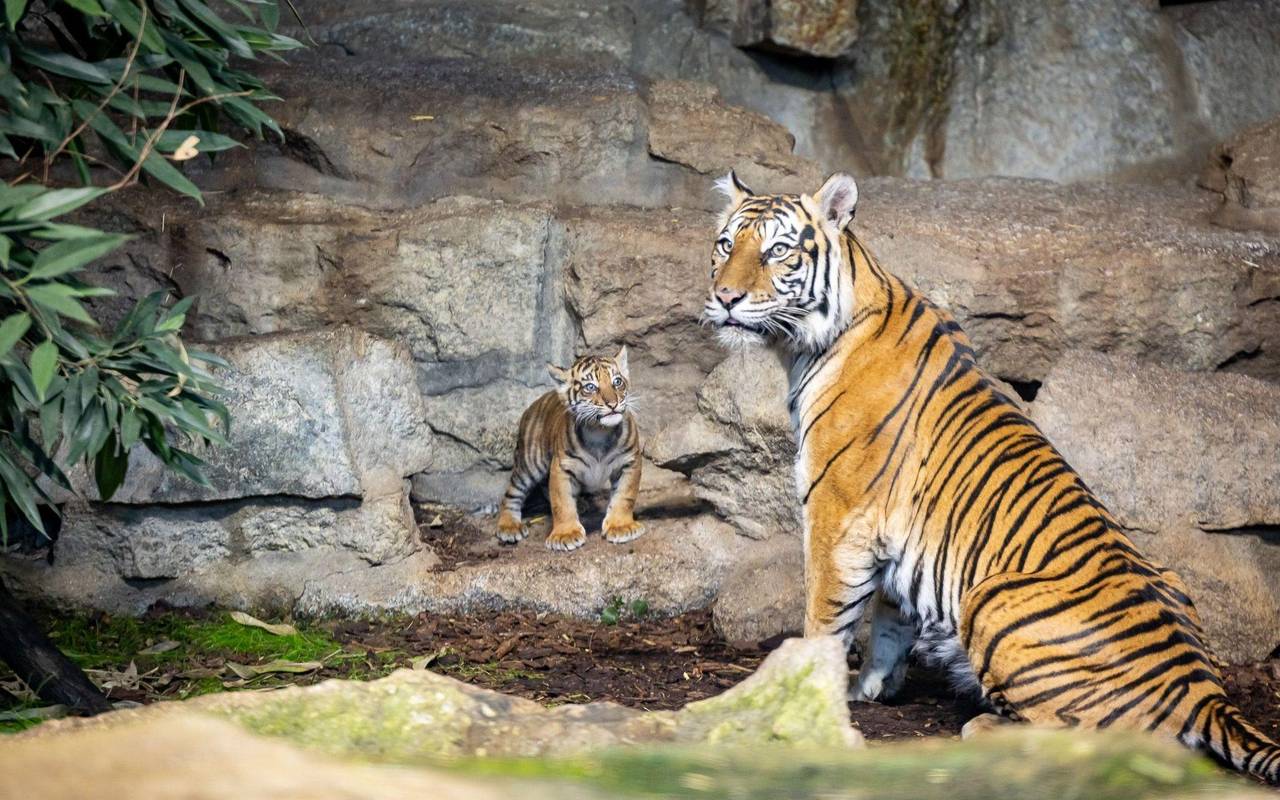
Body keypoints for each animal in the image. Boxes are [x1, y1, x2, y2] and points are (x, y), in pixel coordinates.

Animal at [496, 347, 645, 551]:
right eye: (590, 387)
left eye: (617, 382)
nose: (613, 403)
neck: (599, 432)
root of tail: (534, 403)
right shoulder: (561, 467)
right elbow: (562, 502)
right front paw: (565, 534)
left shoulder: (630, 462)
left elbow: (624, 496)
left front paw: (621, 526)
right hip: (530, 464)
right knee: (512, 493)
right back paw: (509, 526)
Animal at [702, 169, 1280, 783]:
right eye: (726, 245)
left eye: (777, 251)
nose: (726, 298)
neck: (804, 345)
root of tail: (1204, 692)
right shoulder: (891, 539)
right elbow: (887, 620)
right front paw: (869, 687)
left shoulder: (837, 512)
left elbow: (825, 613)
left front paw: (803, 691)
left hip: (991, 595)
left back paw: (984, 726)